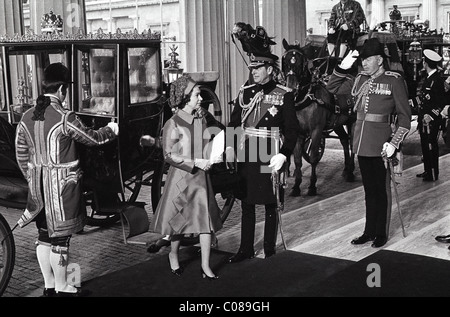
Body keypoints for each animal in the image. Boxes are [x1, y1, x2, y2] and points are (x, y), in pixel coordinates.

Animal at [284, 38, 356, 196]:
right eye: (284, 60)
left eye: (301, 62)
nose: (291, 88)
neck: (306, 98)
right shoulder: (298, 133)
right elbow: (298, 160)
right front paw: (296, 186)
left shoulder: (316, 131)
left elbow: (313, 158)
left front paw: (312, 186)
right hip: (338, 123)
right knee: (344, 140)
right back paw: (346, 168)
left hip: (353, 121)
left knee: (353, 144)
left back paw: (351, 172)